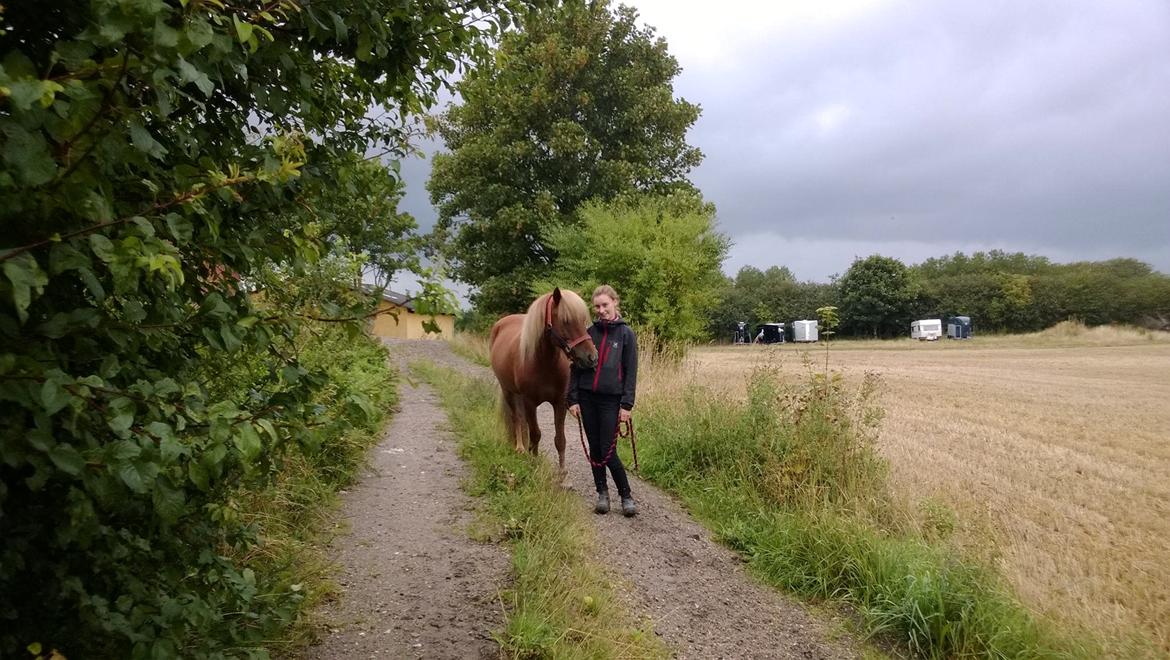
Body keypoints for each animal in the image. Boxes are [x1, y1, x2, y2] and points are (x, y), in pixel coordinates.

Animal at [486, 287, 599, 475]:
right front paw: (534, 464)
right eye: (566, 321)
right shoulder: (530, 402)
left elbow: (560, 439)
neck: (544, 363)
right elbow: (535, 434)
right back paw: (520, 448)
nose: (592, 358)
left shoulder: (560, 402)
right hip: (508, 391)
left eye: (583, 320)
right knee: (517, 418)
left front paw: (562, 473)